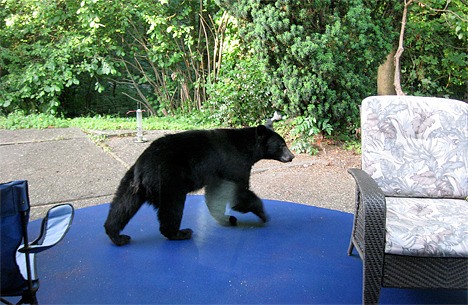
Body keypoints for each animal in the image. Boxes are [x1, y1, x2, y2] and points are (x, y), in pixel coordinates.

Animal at [104, 123, 294, 245]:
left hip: (130, 183)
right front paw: (262, 213)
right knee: (172, 206)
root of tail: (142, 168)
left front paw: (227, 218)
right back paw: (180, 233)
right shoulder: (234, 163)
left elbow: (215, 194)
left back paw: (117, 236)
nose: (292, 156)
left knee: (122, 205)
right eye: (282, 145)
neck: (247, 148)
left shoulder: (218, 173)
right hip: (168, 179)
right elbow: (238, 193)